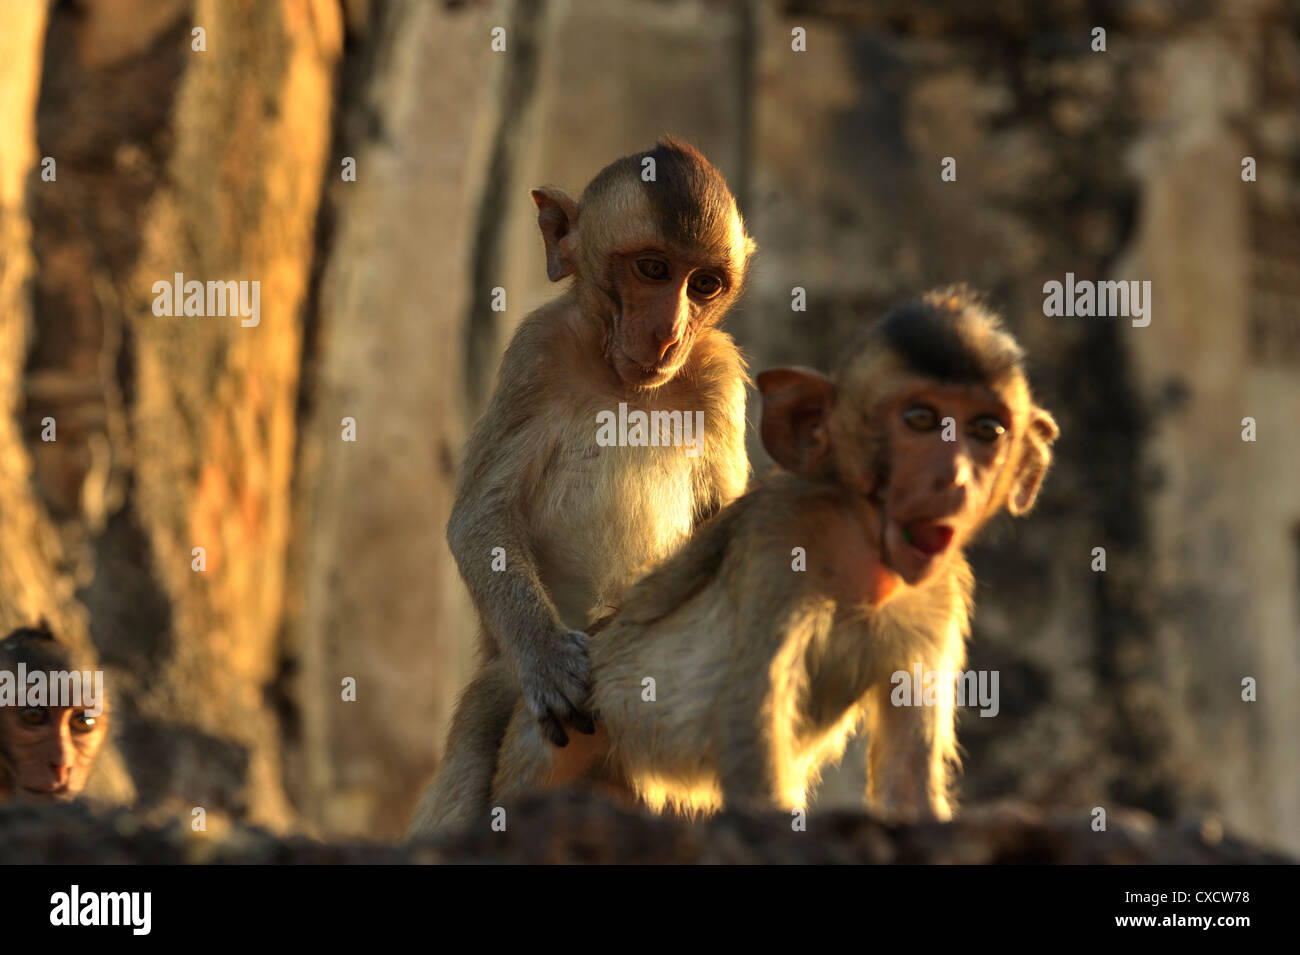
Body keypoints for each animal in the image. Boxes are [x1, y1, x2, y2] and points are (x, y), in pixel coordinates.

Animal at [407, 137, 755, 836]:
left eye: (702, 284)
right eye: (652, 268)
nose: (667, 333)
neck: (622, 381)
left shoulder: (718, 374)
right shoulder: (537, 352)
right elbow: (481, 517)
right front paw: (548, 657)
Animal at [487, 288, 1059, 821]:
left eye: (987, 431)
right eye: (920, 419)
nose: (955, 480)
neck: (865, 557)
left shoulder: (936, 599)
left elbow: (907, 780)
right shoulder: (781, 539)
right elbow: (751, 723)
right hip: (550, 743)